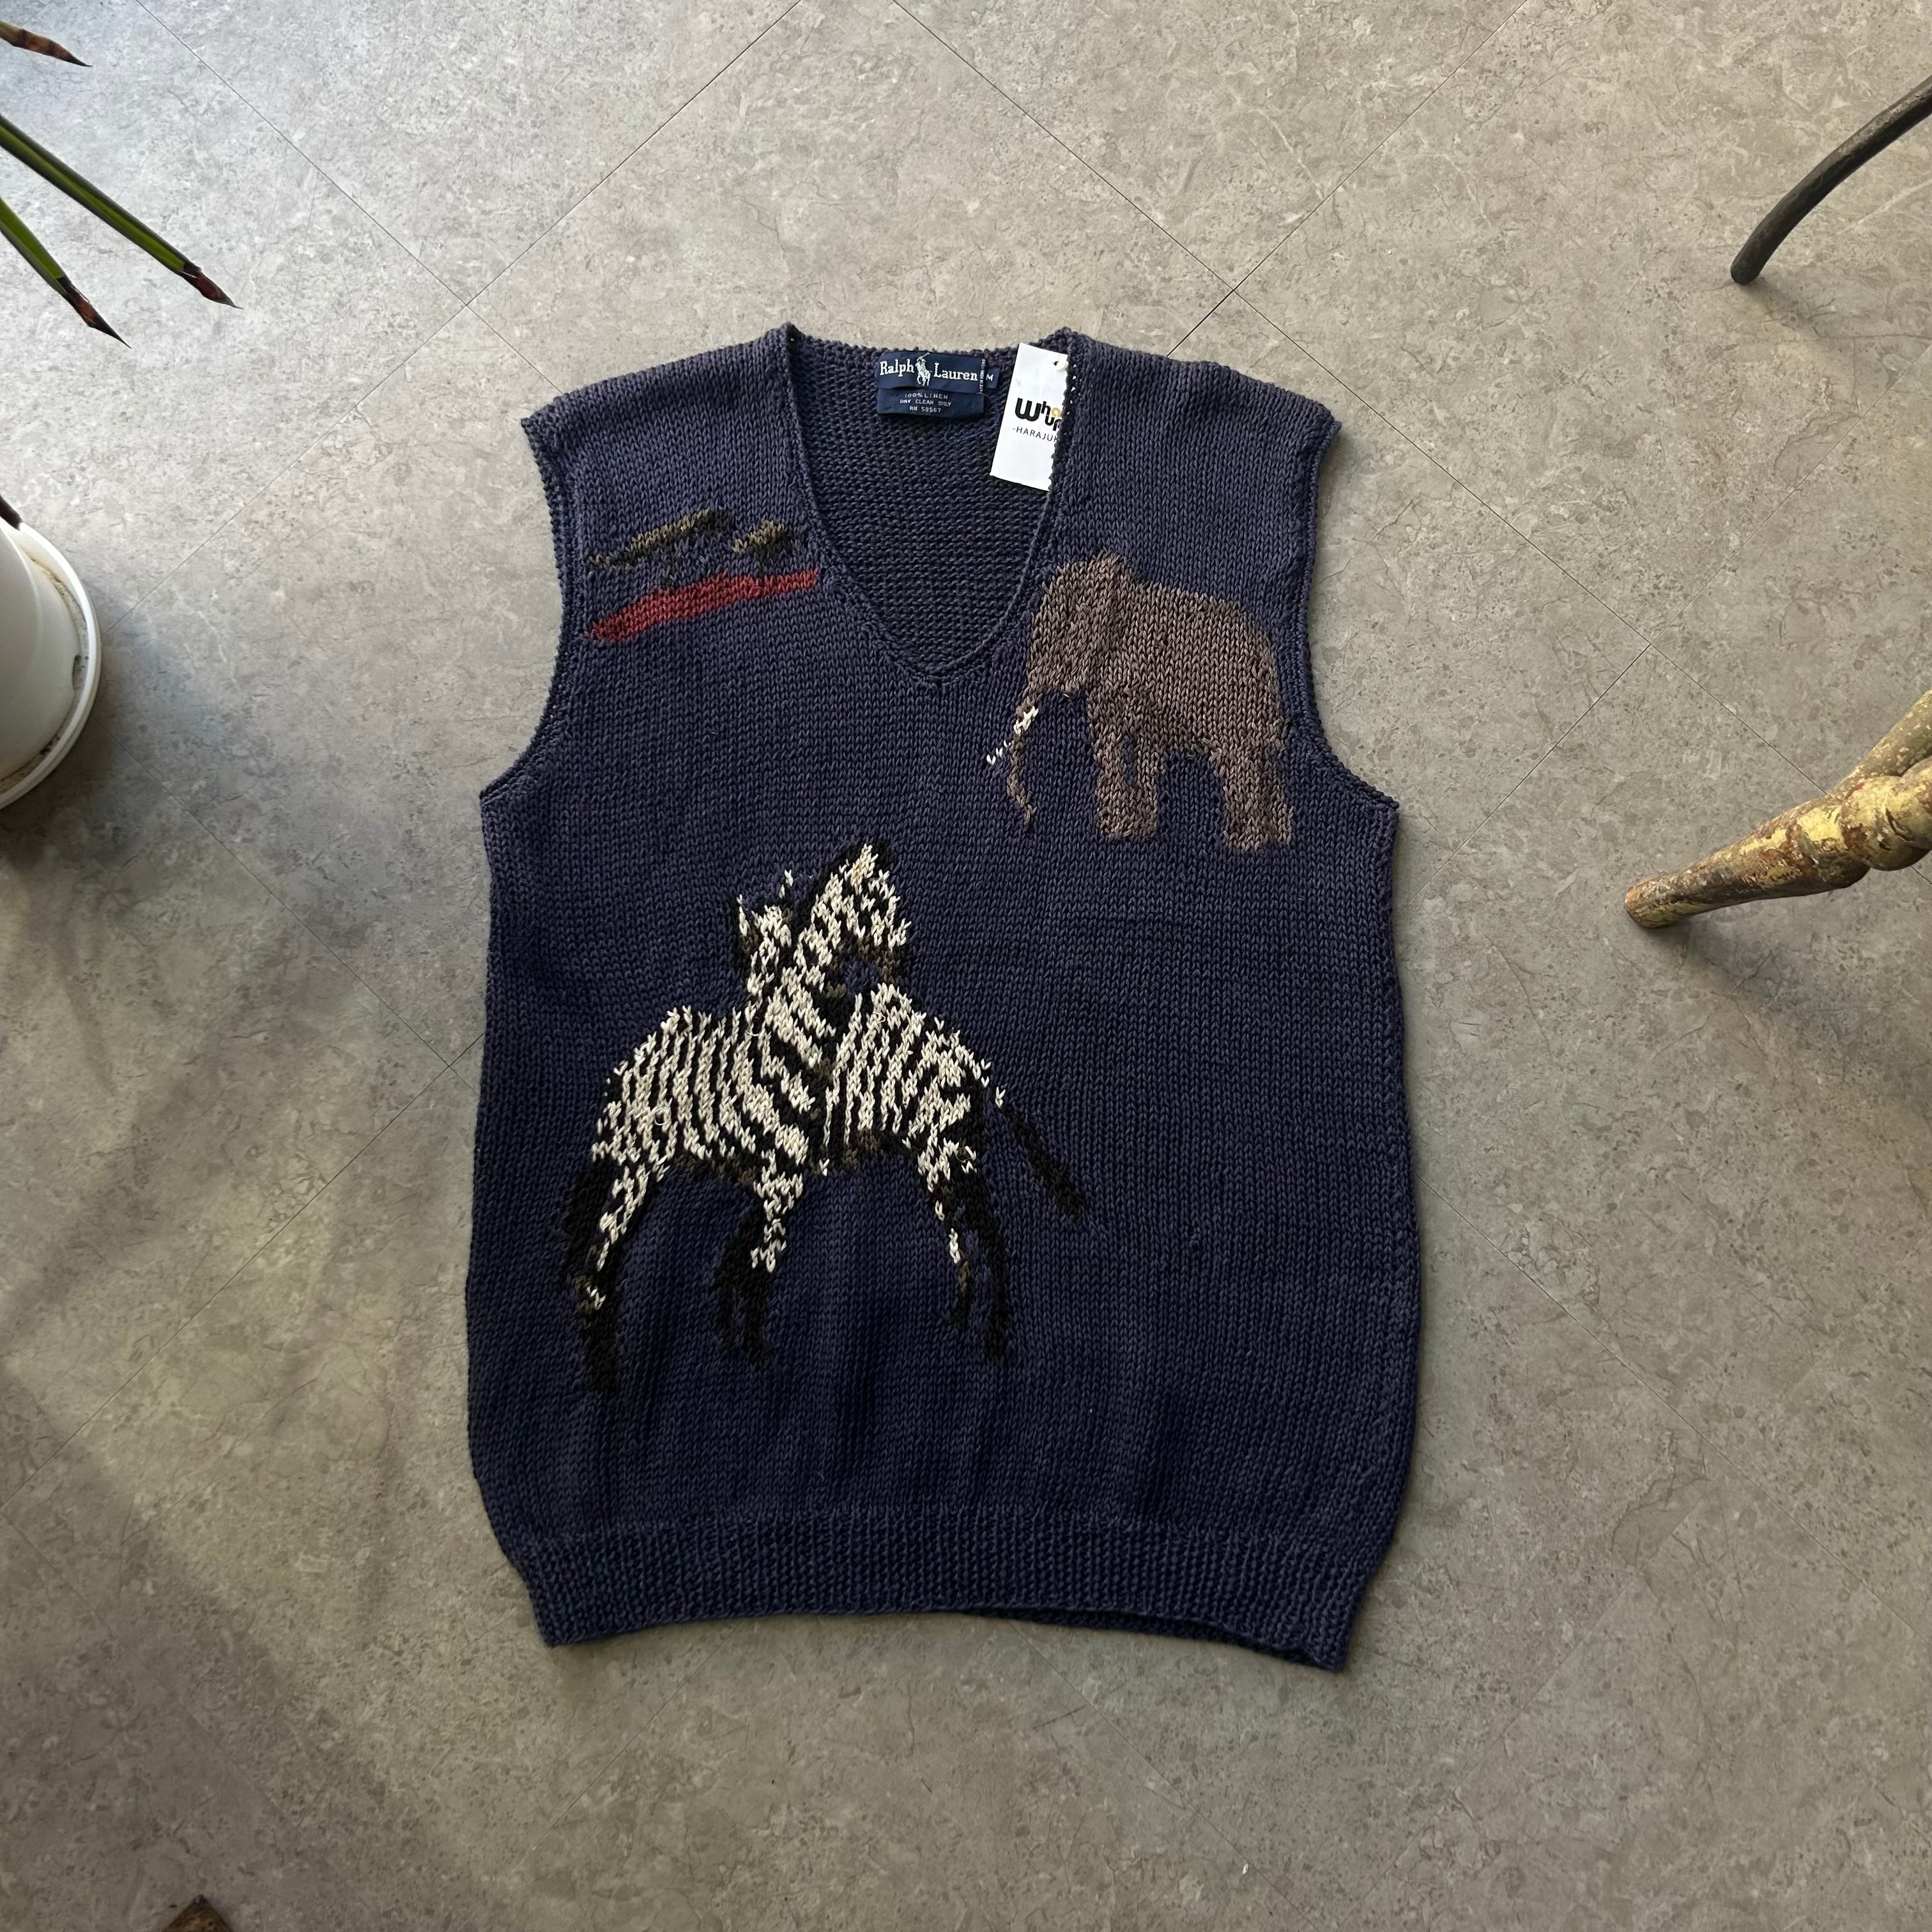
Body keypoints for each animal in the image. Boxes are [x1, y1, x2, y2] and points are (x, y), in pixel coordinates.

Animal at [1006, 552, 1293, 849]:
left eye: (1062, 631)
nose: (1029, 813)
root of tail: (1263, 651)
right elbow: (1145, 750)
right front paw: (1137, 831)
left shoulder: (1123, 679)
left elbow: (1113, 741)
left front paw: (1115, 830)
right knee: (1265, 763)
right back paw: (1272, 839)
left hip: (1235, 703)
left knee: (1238, 761)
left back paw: (1244, 842)